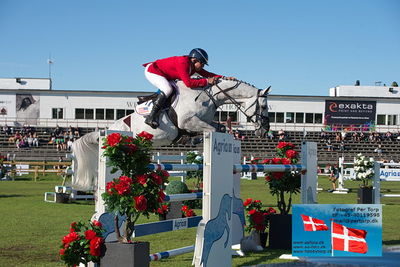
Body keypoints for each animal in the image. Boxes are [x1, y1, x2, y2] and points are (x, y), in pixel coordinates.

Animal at [72, 77, 272, 191]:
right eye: (263, 106)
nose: (264, 131)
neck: (208, 97)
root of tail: (106, 130)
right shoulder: (189, 122)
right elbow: (213, 130)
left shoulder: (201, 123)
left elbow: (219, 128)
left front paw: (193, 140)